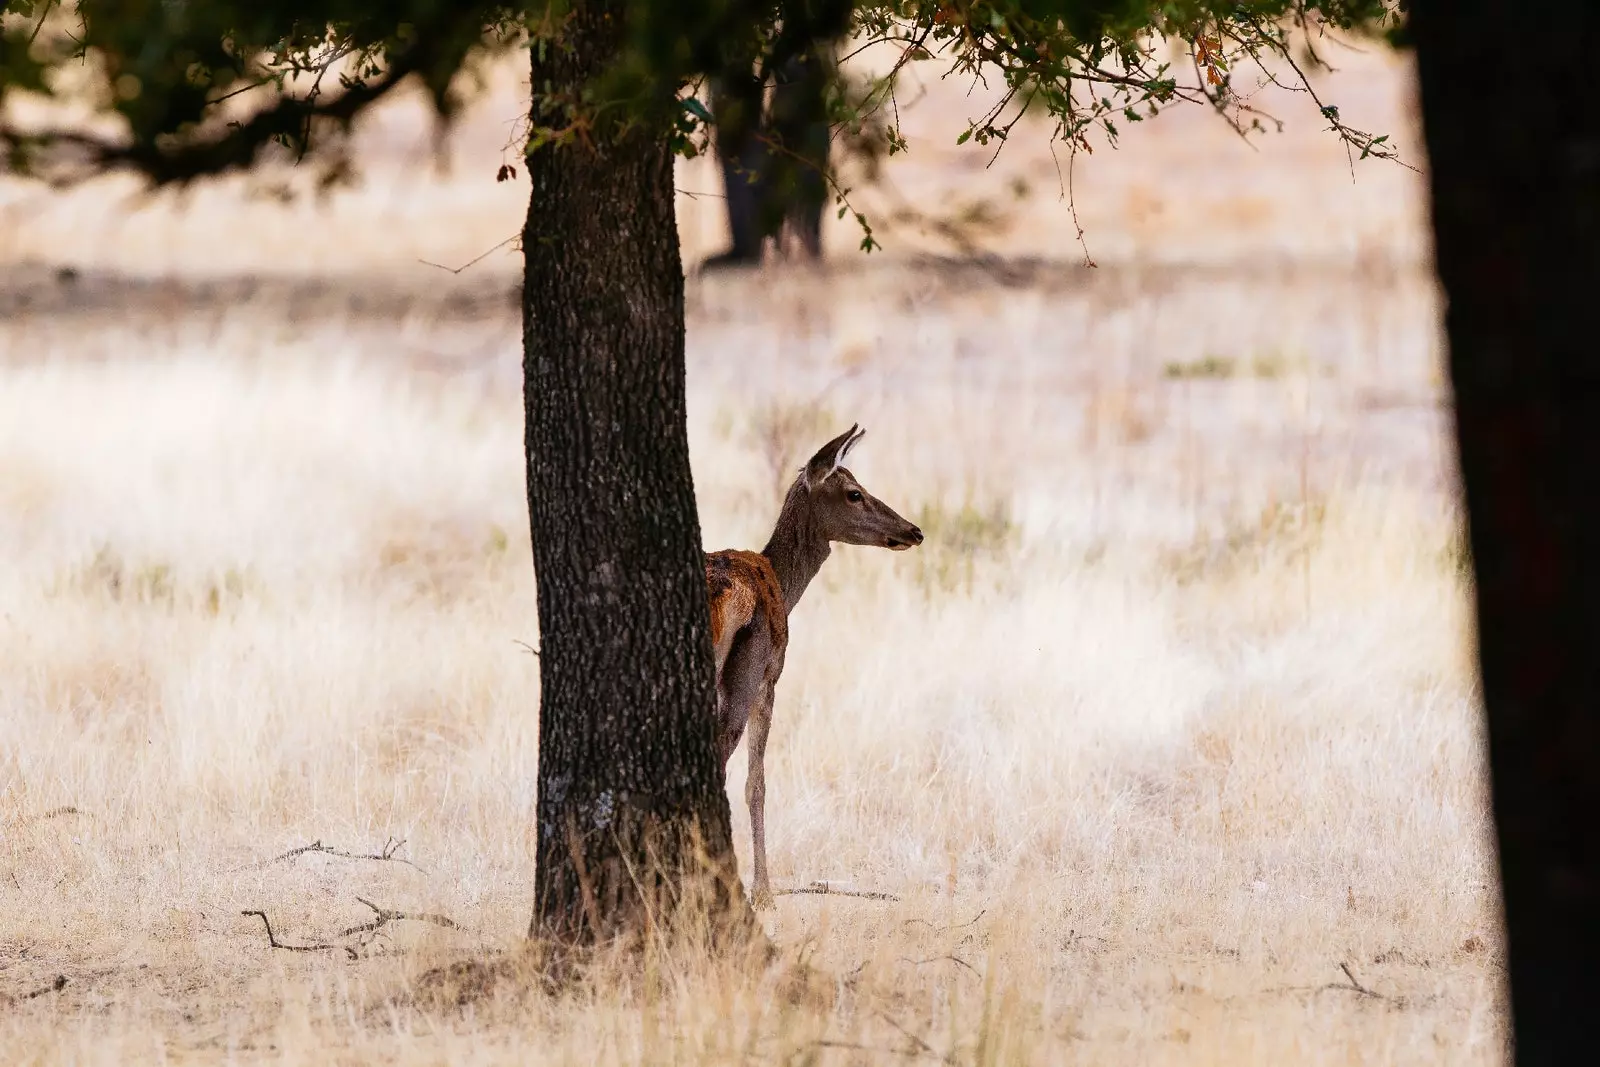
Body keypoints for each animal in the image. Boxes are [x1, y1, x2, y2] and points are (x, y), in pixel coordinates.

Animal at [704, 422, 921, 908]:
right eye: (854, 492)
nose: (915, 530)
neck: (786, 585)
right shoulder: (771, 677)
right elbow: (757, 784)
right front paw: (764, 891)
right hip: (742, 673)